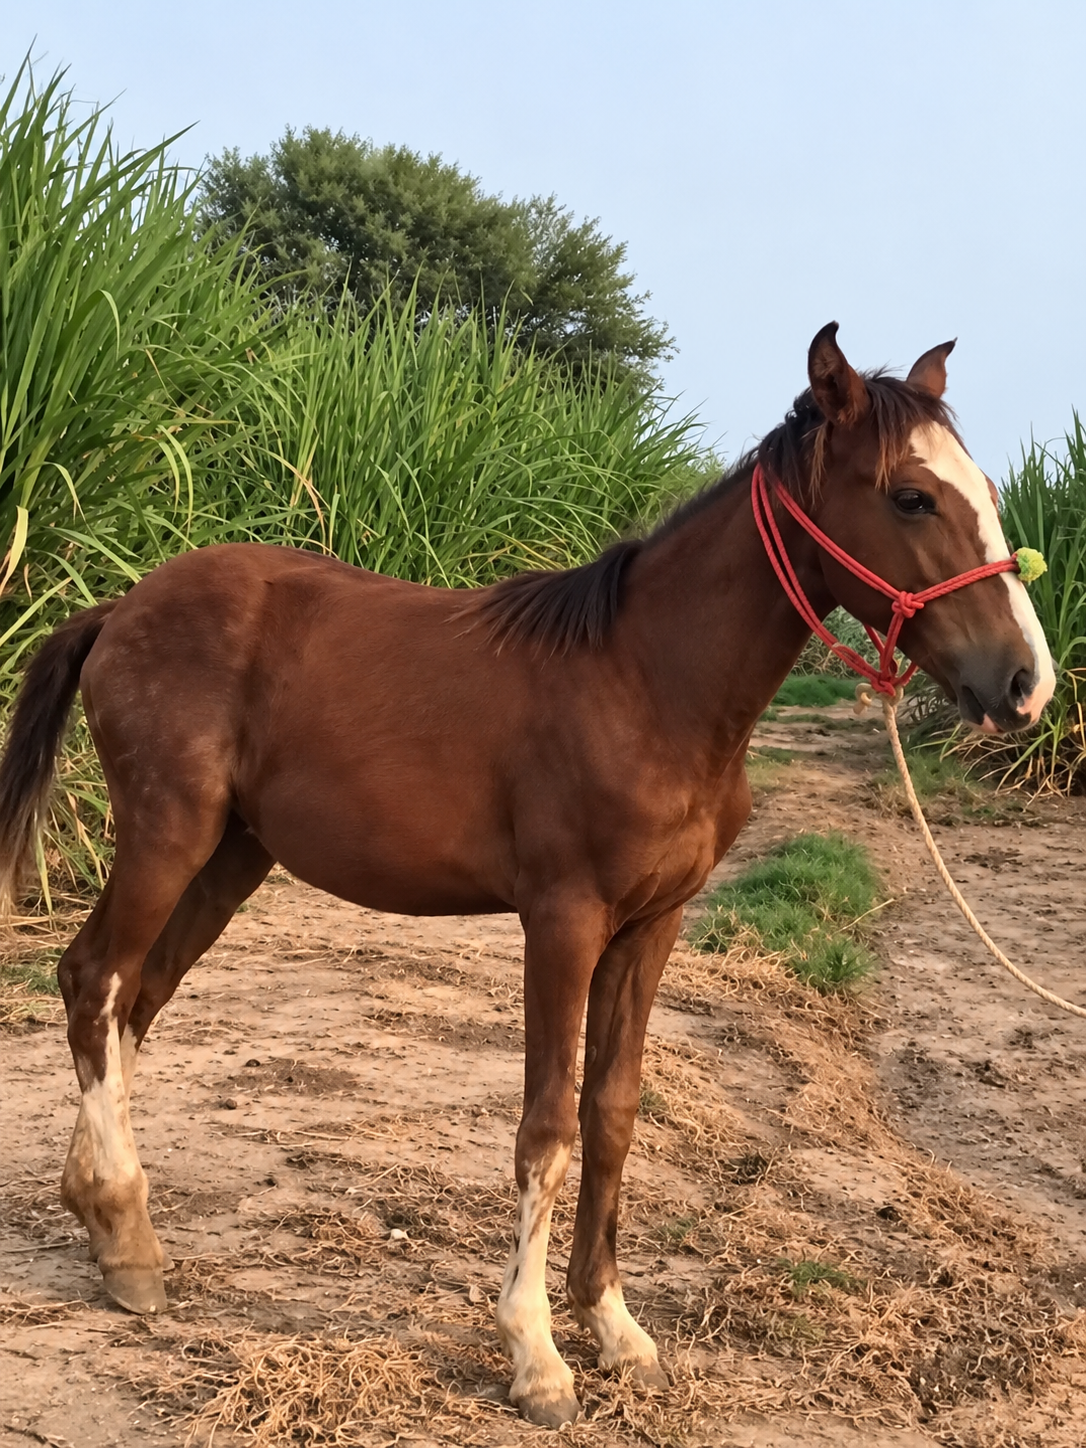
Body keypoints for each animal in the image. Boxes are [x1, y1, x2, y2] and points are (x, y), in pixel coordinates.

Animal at [0, 323, 1054, 1428]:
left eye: (982, 487)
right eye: (911, 496)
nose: (1026, 683)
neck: (647, 684)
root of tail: (121, 606)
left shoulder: (653, 925)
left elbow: (613, 1111)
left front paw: (616, 1329)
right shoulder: (563, 921)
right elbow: (546, 1123)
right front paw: (537, 1356)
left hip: (233, 854)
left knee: (134, 1001)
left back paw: (107, 1220)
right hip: (167, 833)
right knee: (92, 980)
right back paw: (125, 1237)